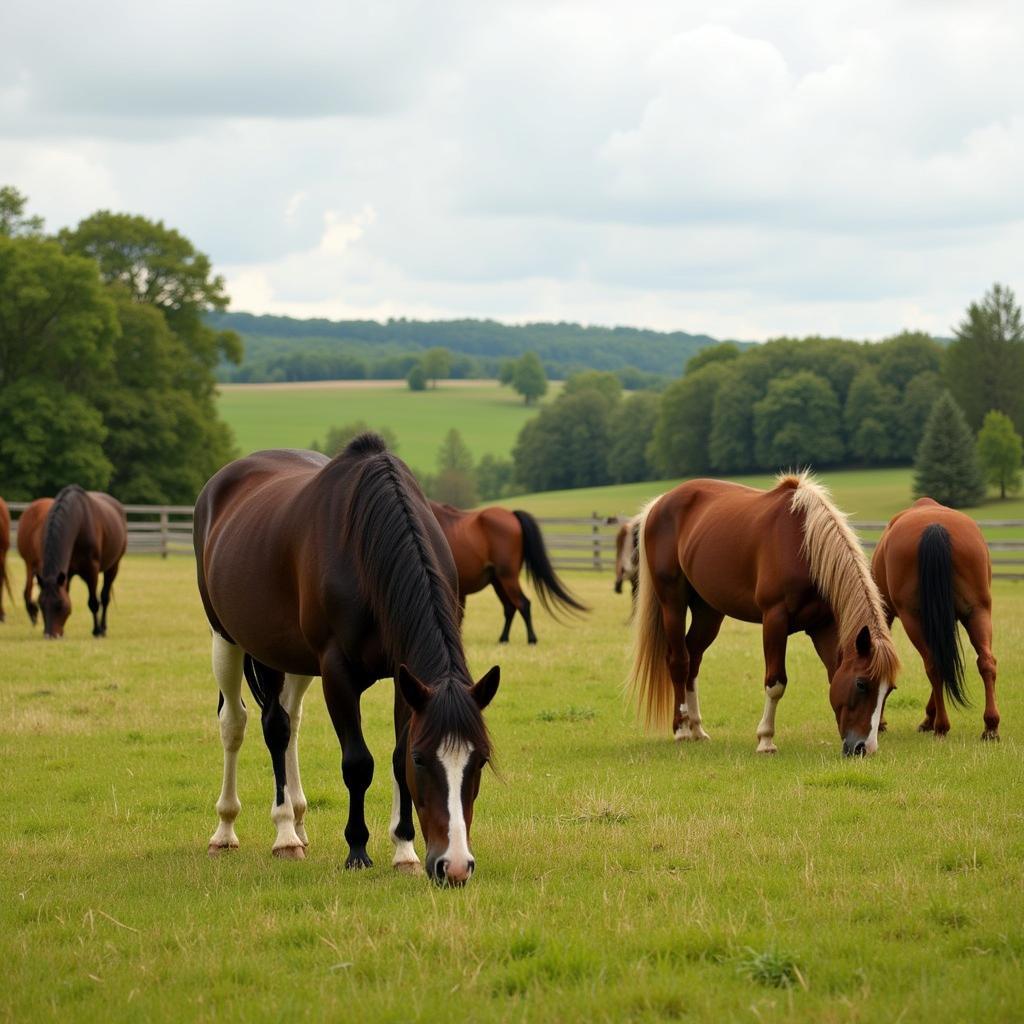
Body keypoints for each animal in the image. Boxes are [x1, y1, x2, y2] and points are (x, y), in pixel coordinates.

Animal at [35, 483, 126, 634]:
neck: (79, 522)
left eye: (60, 604)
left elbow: (93, 602)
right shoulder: (67, 573)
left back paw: (103, 628)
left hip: (113, 566)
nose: (50, 634)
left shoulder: (91, 570)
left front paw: (97, 631)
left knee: (104, 597)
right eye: (40, 604)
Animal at [194, 436, 499, 884]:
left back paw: (298, 823)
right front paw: (357, 850)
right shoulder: (336, 672)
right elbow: (358, 762)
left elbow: (393, 758)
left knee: (290, 723)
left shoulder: (405, 678)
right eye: (424, 760)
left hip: (295, 658)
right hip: (231, 639)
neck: (367, 548)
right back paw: (251, 831)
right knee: (247, 724)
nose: (455, 866)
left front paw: (404, 849)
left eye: (480, 759)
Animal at [425, 501, 585, 643]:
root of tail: (511, 514)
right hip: (498, 582)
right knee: (510, 607)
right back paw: (504, 639)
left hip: (508, 577)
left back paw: (531, 639)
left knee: (523, 604)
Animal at [626, 468, 901, 753]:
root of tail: (660, 502)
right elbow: (775, 683)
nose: (864, 747)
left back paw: (697, 729)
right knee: (679, 661)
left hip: (708, 612)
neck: (805, 547)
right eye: (861, 684)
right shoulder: (774, 619)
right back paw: (681, 729)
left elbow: (831, 673)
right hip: (672, 603)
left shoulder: (822, 626)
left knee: (694, 657)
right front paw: (766, 739)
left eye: (890, 689)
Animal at [872, 499, 999, 741]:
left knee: (934, 665)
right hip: (978, 611)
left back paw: (941, 726)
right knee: (985, 661)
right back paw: (990, 726)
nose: (877, 724)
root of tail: (935, 527)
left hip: (913, 619)